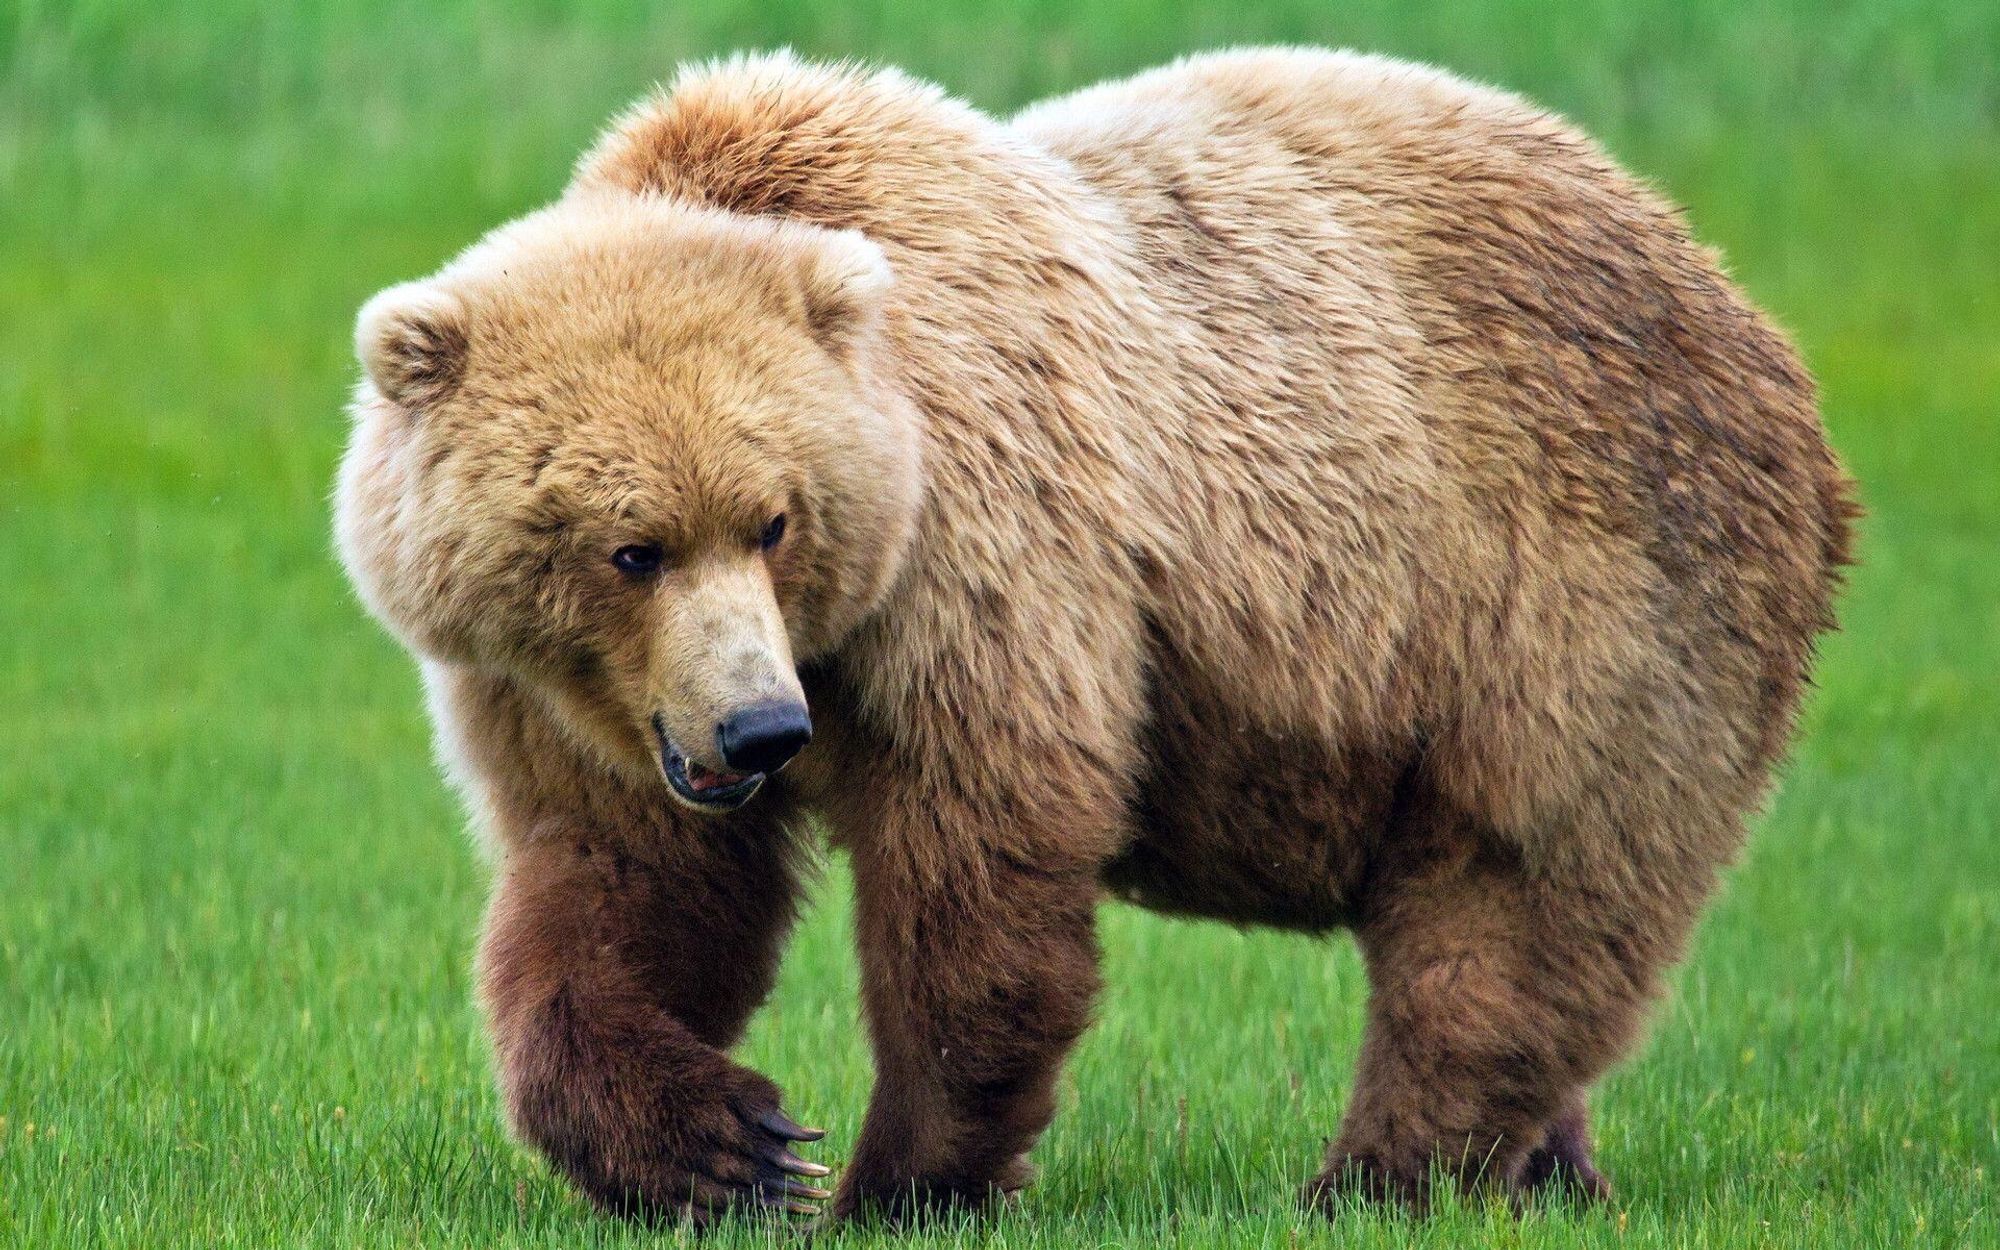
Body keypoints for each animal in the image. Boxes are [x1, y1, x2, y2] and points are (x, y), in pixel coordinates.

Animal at [336, 46, 1848, 1216]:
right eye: (629, 546)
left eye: (772, 519)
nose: (763, 731)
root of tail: (1736, 300)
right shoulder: (571, 694)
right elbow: (621, 885)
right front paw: (726, 1142)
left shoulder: (984, 544)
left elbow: (981, 856)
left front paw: (894, 1180)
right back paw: (1549, 1168)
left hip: (1579, 589)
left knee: (1514, 893)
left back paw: (1379, 1174)